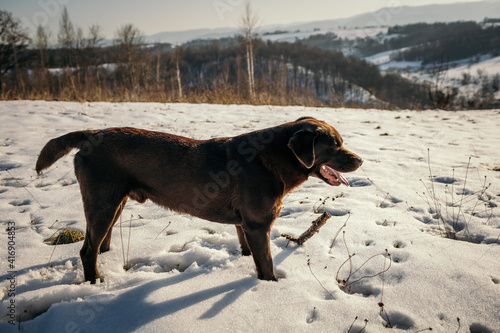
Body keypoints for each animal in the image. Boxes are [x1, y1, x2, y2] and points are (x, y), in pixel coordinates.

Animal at [36, 115, 364, 282]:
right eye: (334, 145)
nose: (360, 160)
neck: (273, 159)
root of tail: (90, 134)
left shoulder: (245, 225)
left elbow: (248, 251)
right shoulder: (258, 225)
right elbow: (267, 264)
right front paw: (270, 287)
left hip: (114, 202)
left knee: (99, 241)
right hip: (103, 202)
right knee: (86, 250)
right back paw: (95, 282)